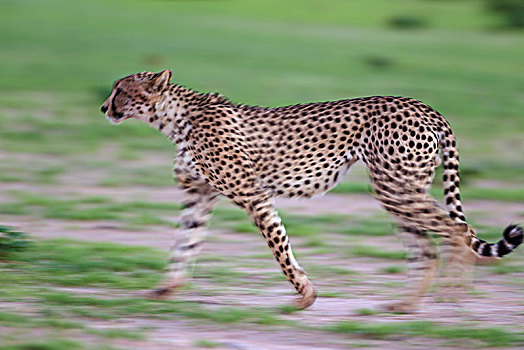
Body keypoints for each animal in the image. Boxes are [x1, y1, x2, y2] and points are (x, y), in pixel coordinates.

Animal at [100, 70, 520, 312]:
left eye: (120, 90)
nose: (104, 107)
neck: (175, 119)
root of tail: (423, 105)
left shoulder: (253, 195)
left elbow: (280, 250)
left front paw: (305, 294)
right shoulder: (198, 196)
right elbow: (184, 244)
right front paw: (166, 290)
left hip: (396, 186)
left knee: (457, 229)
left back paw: (454, 294)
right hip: (398, 189)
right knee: (428, 249)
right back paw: (406, 304)